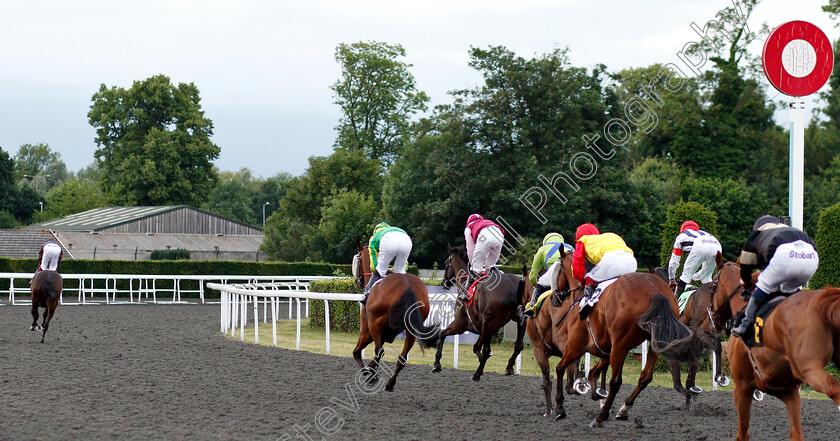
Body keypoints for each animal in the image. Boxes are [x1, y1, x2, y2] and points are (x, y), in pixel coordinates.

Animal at [350, 244, 440, 392]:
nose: (358, 281)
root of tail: (408, 286)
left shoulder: (367, 332)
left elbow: (357, 352)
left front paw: (369, 375)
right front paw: (371, 373)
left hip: (374, 325)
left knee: (378, 352)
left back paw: (372, 376)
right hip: (411, 330)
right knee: (402, 359)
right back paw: (390, 384)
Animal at [434, 246, 524, 380]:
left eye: (446, 263)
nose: (443, 283)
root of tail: (514, 286)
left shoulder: (460, 325)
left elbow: (442, 334)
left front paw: (436, 364)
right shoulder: (486, 329)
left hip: (489, 323)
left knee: (483, 349)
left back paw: (477, 373)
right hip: (519, 319)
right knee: (519, 346)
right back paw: (508, 367)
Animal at [552, 251, 704, 426]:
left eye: (556, 269)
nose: (555, 298)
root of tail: (656, 292)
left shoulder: (576, 345)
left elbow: (560, 368)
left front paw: (560, 407)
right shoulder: (604, 349)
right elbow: (593, 372)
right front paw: (597, 394)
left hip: (621, 346)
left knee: (616, 381)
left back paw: (601, 416)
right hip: (653, 345)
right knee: (645, 377)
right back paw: (623, 409)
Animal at [712, 260, 840, 438]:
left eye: (712, 285)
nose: (712, 314)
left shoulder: (742, 387)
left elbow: (743, 432)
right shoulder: (790, 392)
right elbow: (796, 433)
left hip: (808, 368)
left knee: (833, 386)